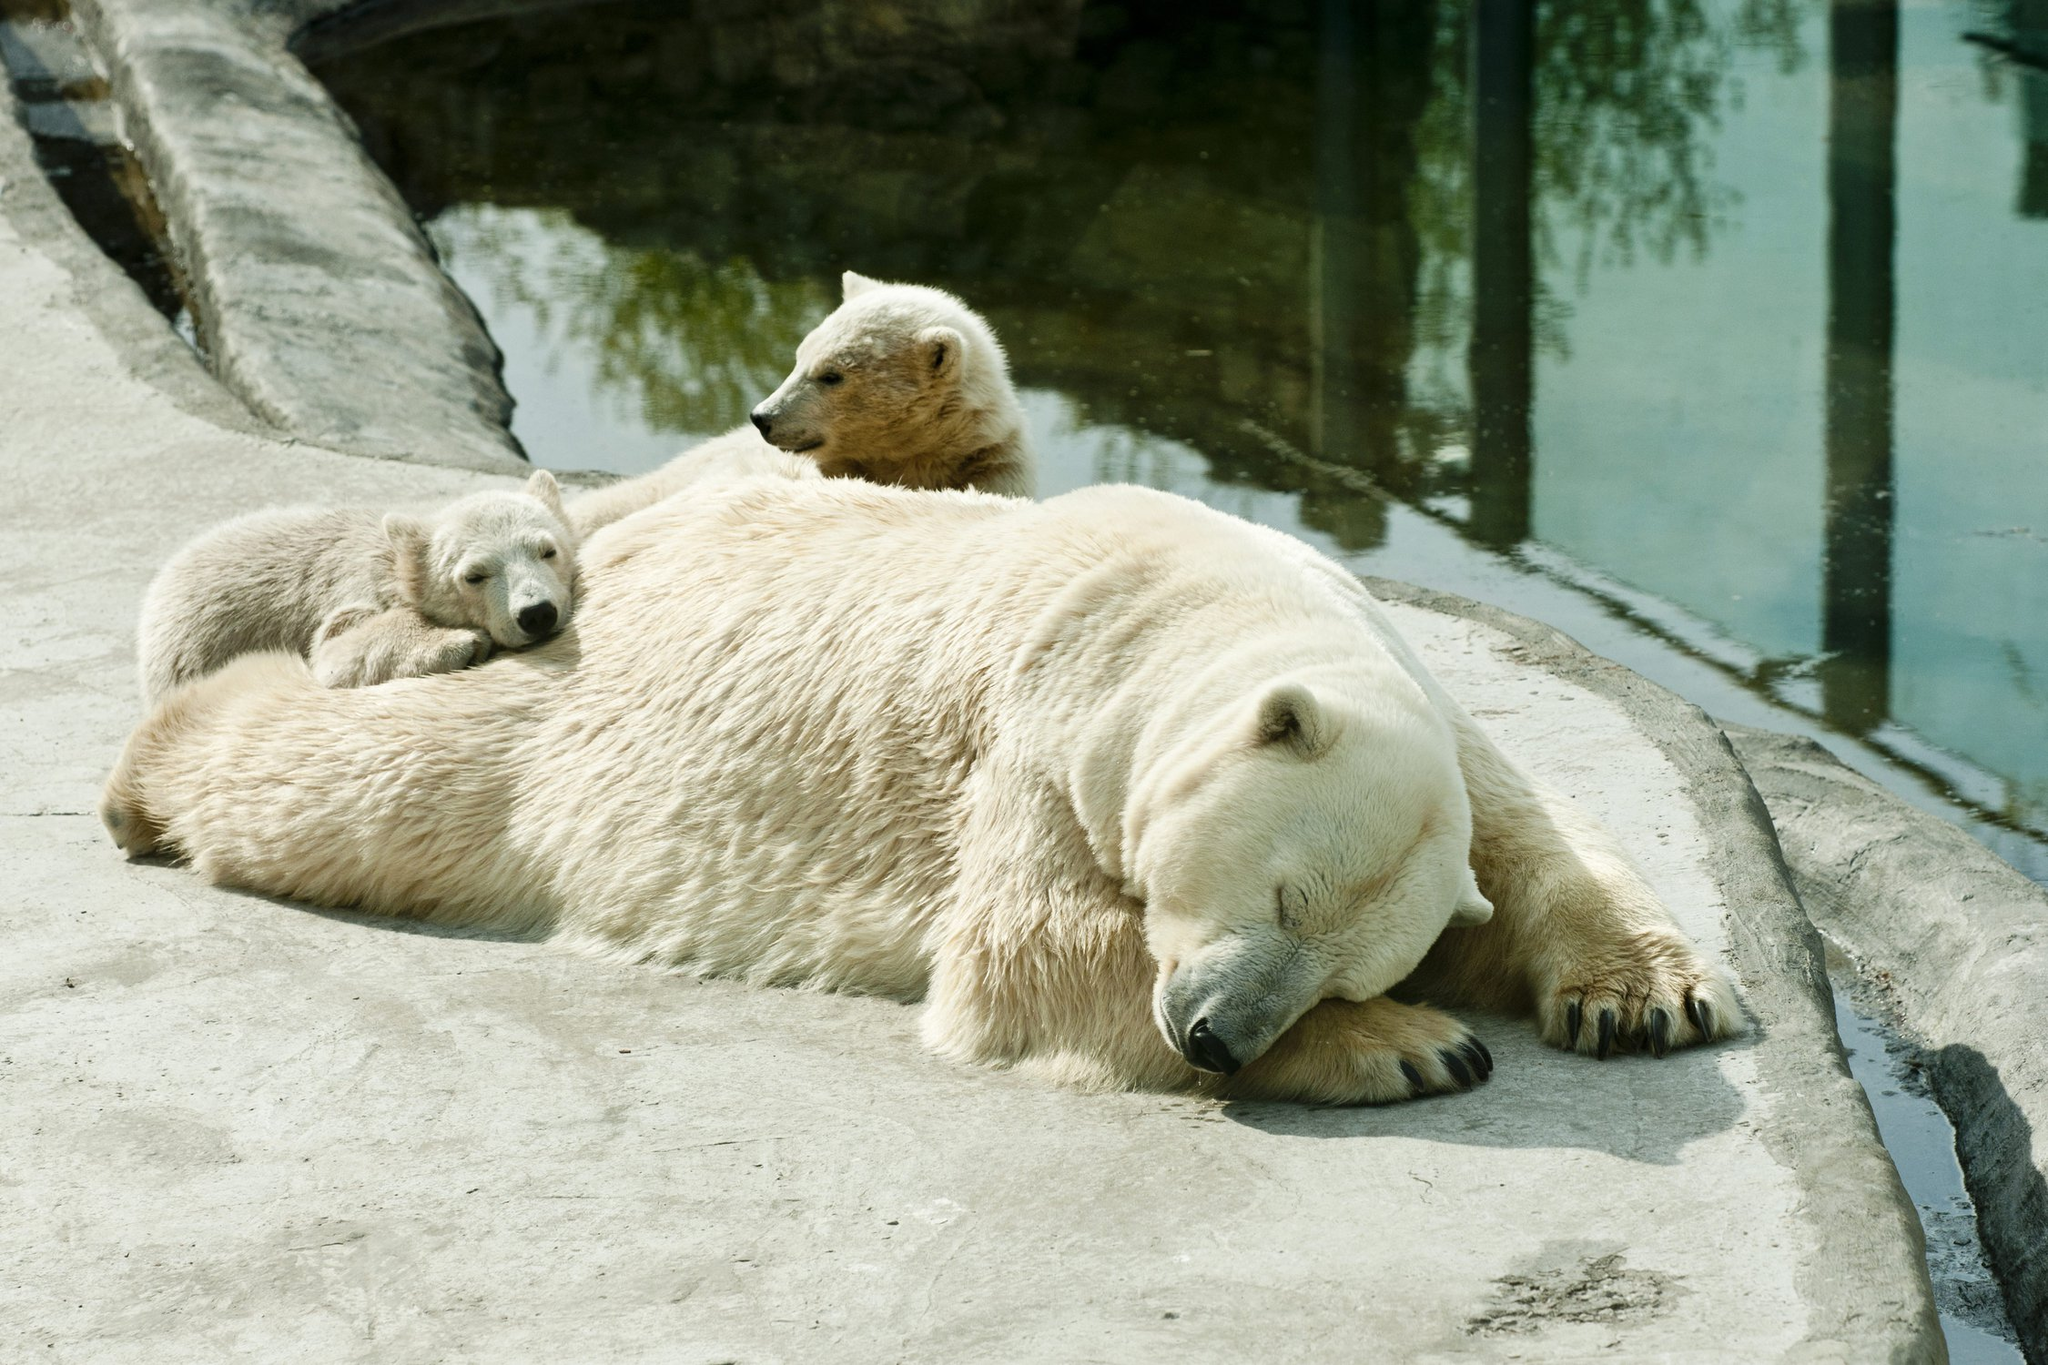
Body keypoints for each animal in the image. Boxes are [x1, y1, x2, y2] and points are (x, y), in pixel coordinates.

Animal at [103, 485, 1736, 1105]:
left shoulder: (1426, 711)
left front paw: (1644, 996)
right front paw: (1417, 1048)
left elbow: (1540, 830)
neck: (1171, 602)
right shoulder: (1036, 730)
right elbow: (1025, 957)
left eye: (1340, 950)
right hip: (556, 706)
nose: (1215, 1035)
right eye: (1276, 894)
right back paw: (151, 776)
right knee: (361, 786)